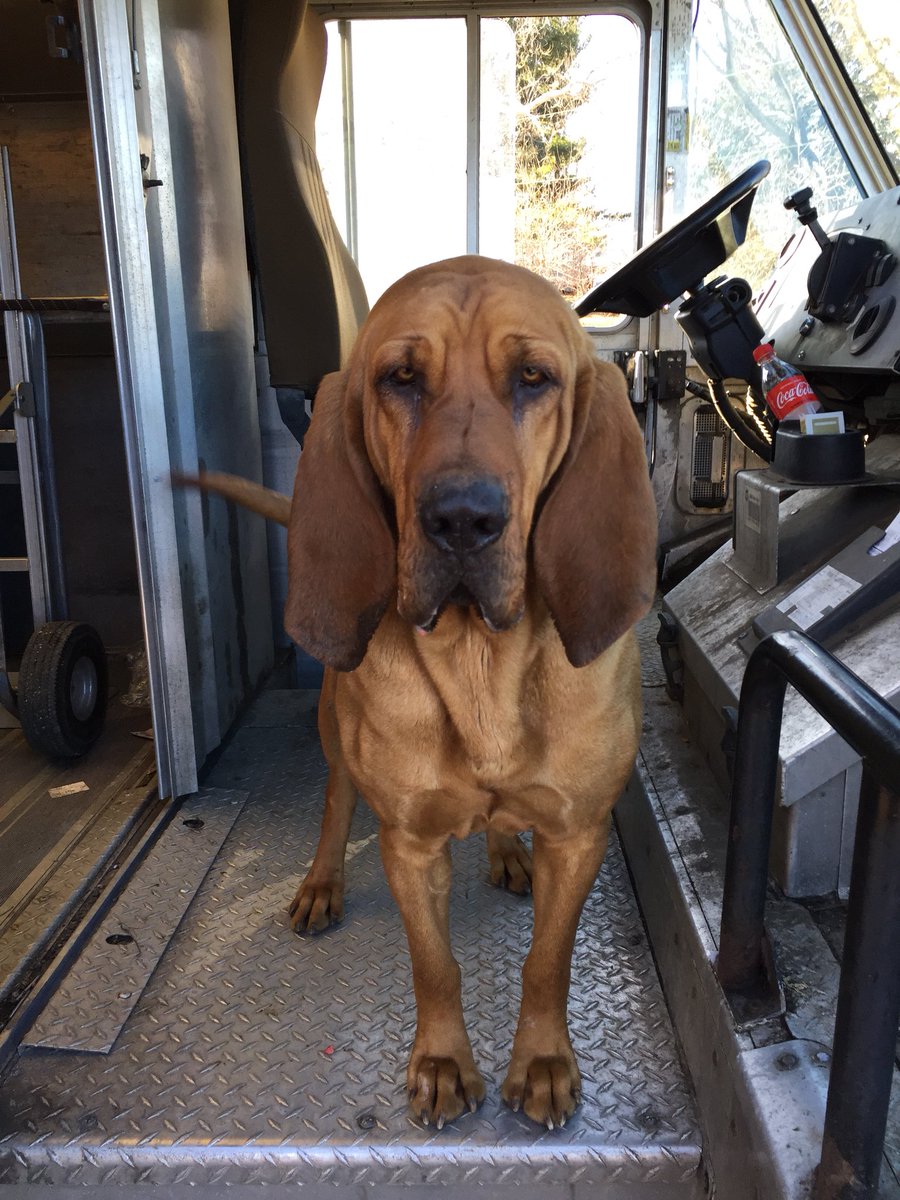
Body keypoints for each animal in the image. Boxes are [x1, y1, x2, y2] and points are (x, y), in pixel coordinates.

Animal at [183, 255, 657, 1131]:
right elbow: (435, 967)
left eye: (534, 378)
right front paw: (441, 1065)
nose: (463, 520)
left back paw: (505, 850)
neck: (481, 664)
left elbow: (548, 962)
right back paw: (323, 883)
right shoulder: (409, 846)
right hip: (336, 737)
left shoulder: (578, 836)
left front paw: (543, 1062)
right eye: (400, 378)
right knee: (336, 803)